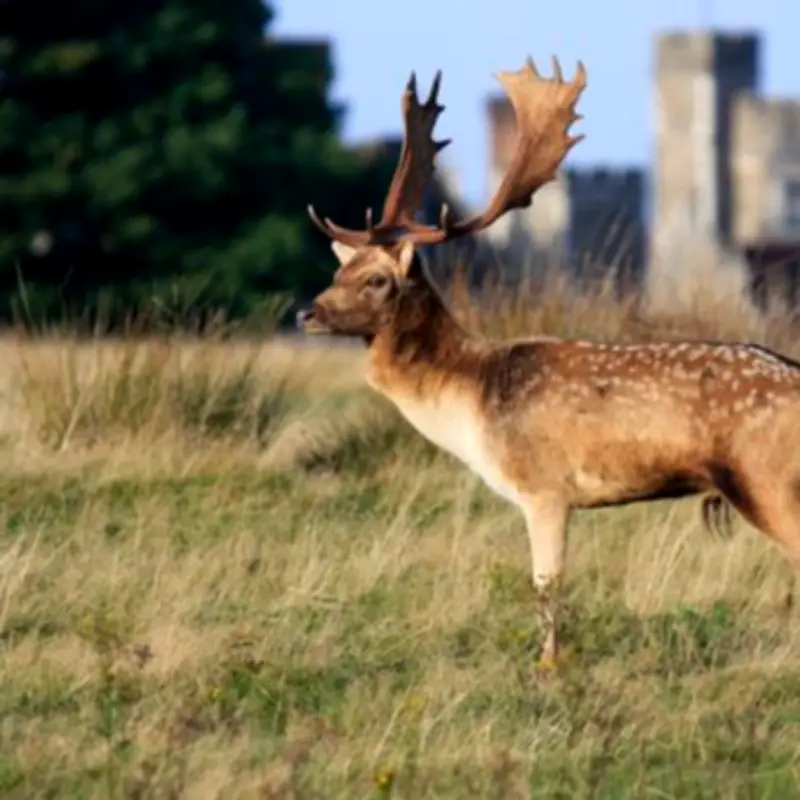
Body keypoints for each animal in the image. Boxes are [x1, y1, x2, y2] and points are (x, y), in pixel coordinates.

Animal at [296, 56, 800, 667]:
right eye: (338, 271)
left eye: (376, 280)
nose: (307, 313)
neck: (472, 398)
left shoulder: (545, 488)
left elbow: (546, 582)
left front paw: (547, 665)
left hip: (766, 477)